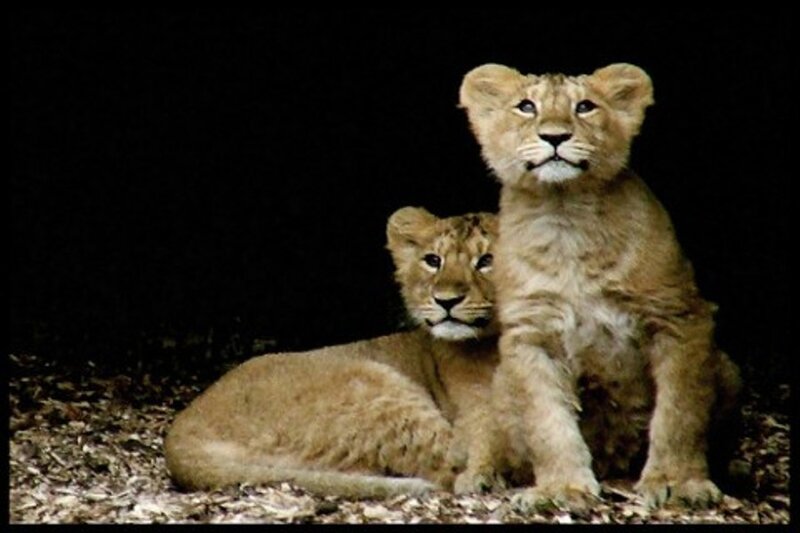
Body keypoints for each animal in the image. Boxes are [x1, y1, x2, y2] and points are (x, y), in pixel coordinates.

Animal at [164, 207, 501, 499]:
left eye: (487, 260)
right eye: (433, 260)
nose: (446, 300)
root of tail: (178, 433)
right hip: (371, 383)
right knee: (447, 467)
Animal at [458, 63, 741, 510]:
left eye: (585, 107)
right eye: (526, 106)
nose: (555, 136)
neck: (565, 214)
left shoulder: (679, 317)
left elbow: (680, 412)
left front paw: (678, 482)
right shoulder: (531, 334)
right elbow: (546, 423)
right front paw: (560, 489)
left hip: (727, 367)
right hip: (502, 381)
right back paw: (484, 477)